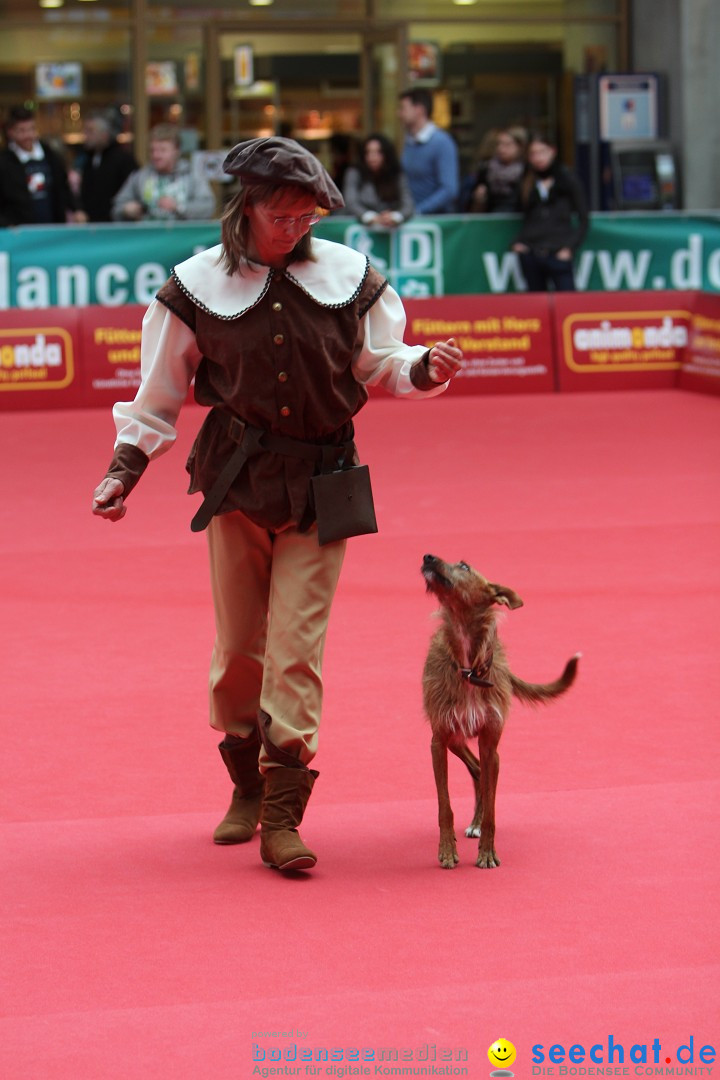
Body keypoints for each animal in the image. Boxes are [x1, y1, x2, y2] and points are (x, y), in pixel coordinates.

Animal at [423, 557, 578, 868]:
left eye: (464, 566)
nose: (428, 557)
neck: (469, 668)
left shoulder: (491, 744)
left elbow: (493, 808)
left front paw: (487, 852)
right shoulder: (438, 741)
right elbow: (444, 805)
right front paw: (446, 850)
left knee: (480, 772)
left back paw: (477, 823)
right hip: (454, 739)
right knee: (475, 770)